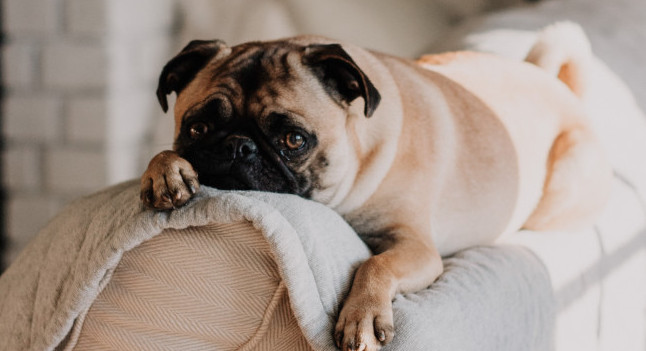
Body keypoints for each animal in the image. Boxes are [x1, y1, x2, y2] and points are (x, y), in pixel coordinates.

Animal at [140, 22, 612, 351]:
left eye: (294, 140)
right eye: (197, 128)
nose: (239, 147)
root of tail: (553, 82)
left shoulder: (417, 248)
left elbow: (375, 265)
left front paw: (363, 317)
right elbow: (162, 156)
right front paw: (165, 170)